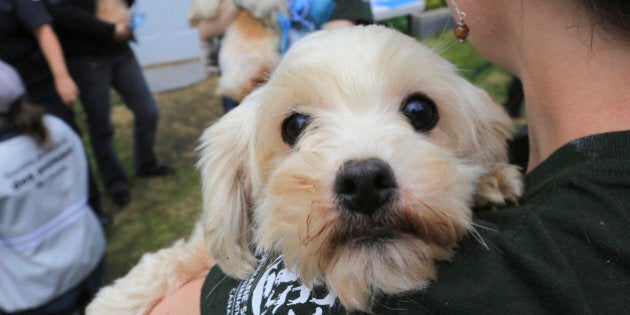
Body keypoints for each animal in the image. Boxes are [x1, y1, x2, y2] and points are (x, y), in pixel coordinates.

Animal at [87, 25, 524, 315]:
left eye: (420, 110)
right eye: (294, 125)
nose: (364, 181)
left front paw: (492, 178)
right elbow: (173, 258)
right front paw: (115, 300)